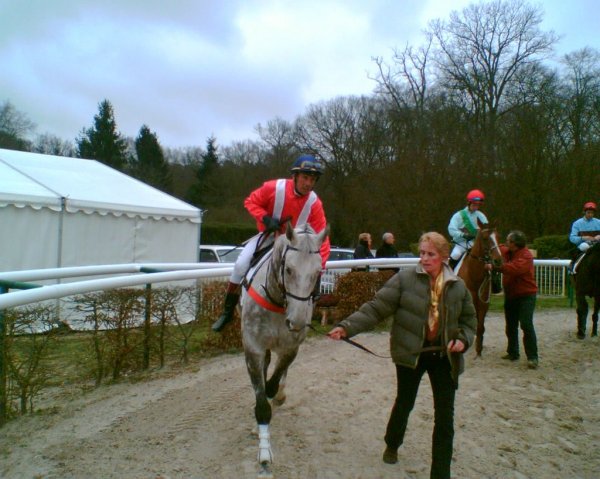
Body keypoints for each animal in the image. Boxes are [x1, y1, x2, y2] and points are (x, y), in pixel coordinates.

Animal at [458, 221, 504, 356]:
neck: (473, 275)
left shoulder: (483, 303)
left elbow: (480, 327)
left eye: (498, 236)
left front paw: (479, 349)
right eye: (485, 238)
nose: (498, 259)